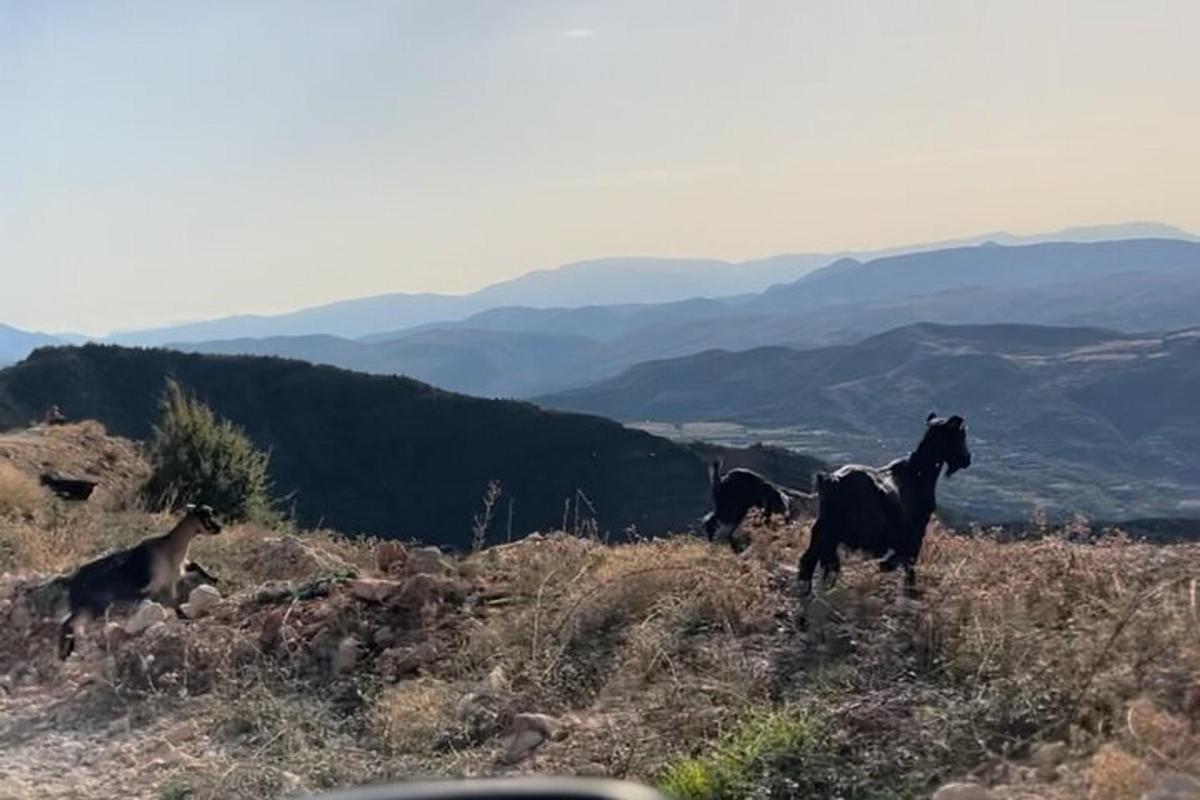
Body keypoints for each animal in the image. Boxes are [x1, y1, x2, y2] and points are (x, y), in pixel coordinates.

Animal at [55, 503, 223, 662]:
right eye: (205, 516)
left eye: (211, 514)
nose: (219, 528)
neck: (171, 548)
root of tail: (71, 580)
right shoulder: (163, 583)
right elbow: (174, 603)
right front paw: (186, 618)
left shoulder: (176, 575)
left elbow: (195, 566)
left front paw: (213, 579)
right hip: (92, 605)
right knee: (70, 624)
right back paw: (65, 653)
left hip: (86, 606)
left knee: (68, 623)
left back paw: (66, 652)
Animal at [796, 412, 974, 594]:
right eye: (961, 434)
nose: (967, 459)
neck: (917, 473)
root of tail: (831, 479)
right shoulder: (915, 535)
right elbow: (907, 567)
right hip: (835, 530)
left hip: (823, 529)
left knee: (810, 561)